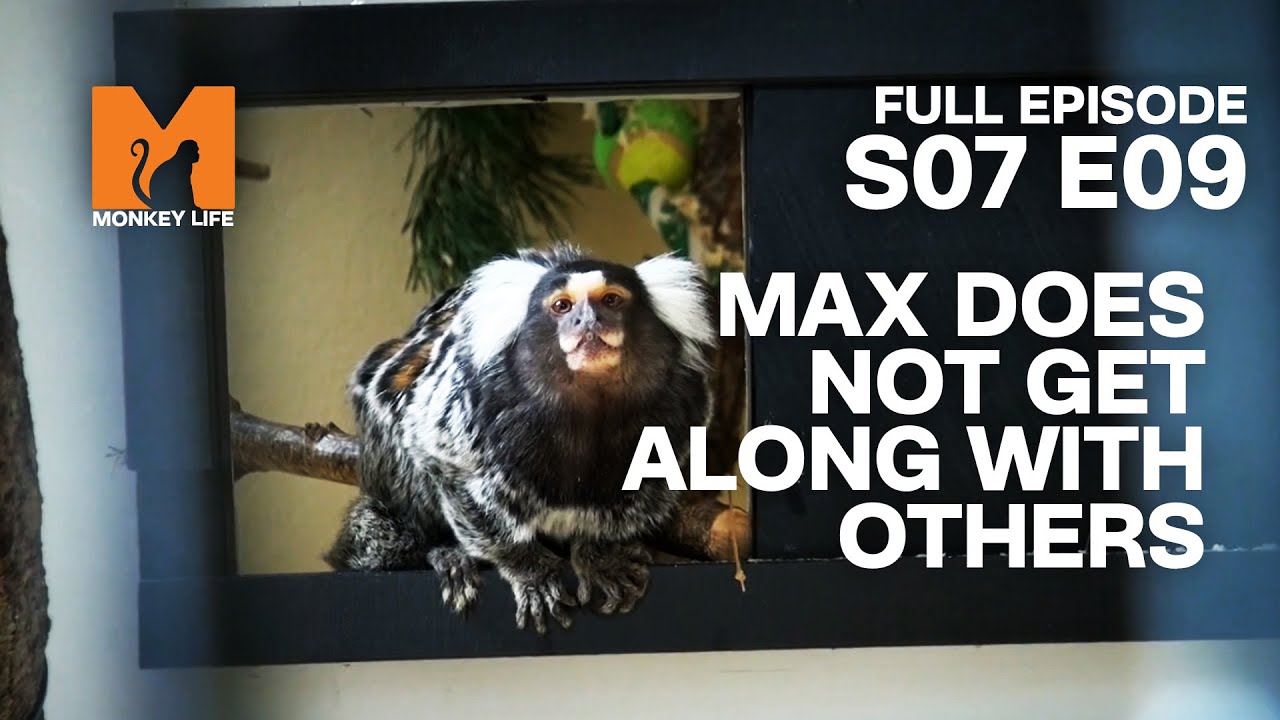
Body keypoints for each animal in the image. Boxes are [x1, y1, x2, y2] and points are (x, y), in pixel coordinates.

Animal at [325, 244, 716, 634]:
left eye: (611, 300)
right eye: (562, 306)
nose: (588, 321)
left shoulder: (682, 408)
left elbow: (642, 489)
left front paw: (599, 555)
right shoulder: (466, 404)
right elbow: (448, 465)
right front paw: (528, 568)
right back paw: (446, 552)